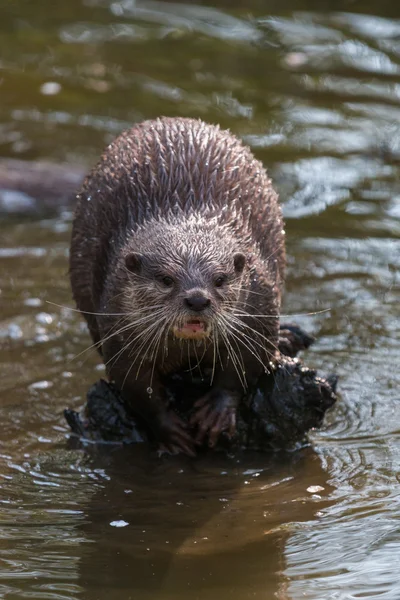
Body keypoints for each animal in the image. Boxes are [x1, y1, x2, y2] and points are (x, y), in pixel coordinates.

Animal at [70, 116, 286, 454]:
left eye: (220, 279)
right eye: (165, 279)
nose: (197, 299)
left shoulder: (260, 307)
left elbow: (246, 366)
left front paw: (216, 412)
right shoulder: (117, 325)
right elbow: (134, 384)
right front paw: (170, 431)